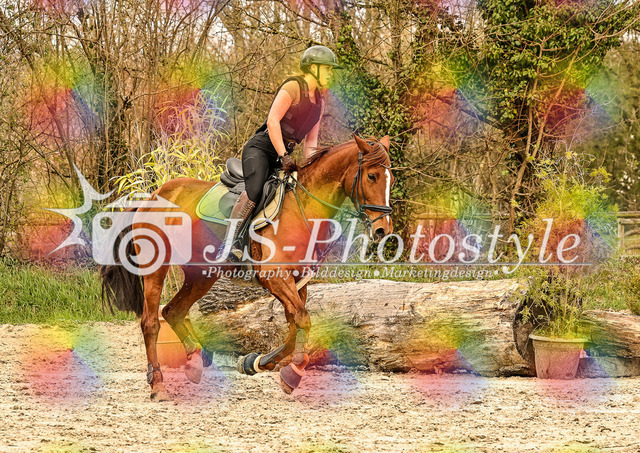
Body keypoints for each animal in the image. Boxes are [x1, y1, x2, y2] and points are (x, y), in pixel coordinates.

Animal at [100, 134, 394, 401]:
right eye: (371, 176)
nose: (383, 230)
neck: (304, 208)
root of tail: (153, 195)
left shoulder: (298, 280)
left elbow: (294, 325)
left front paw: (258, 362)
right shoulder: (274, 277)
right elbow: (302, 320)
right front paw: (292, 373)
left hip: (201, 275)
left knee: (173, 311)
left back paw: (194, 363)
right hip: (156, 268)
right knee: (151, 322)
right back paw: (158, 385)